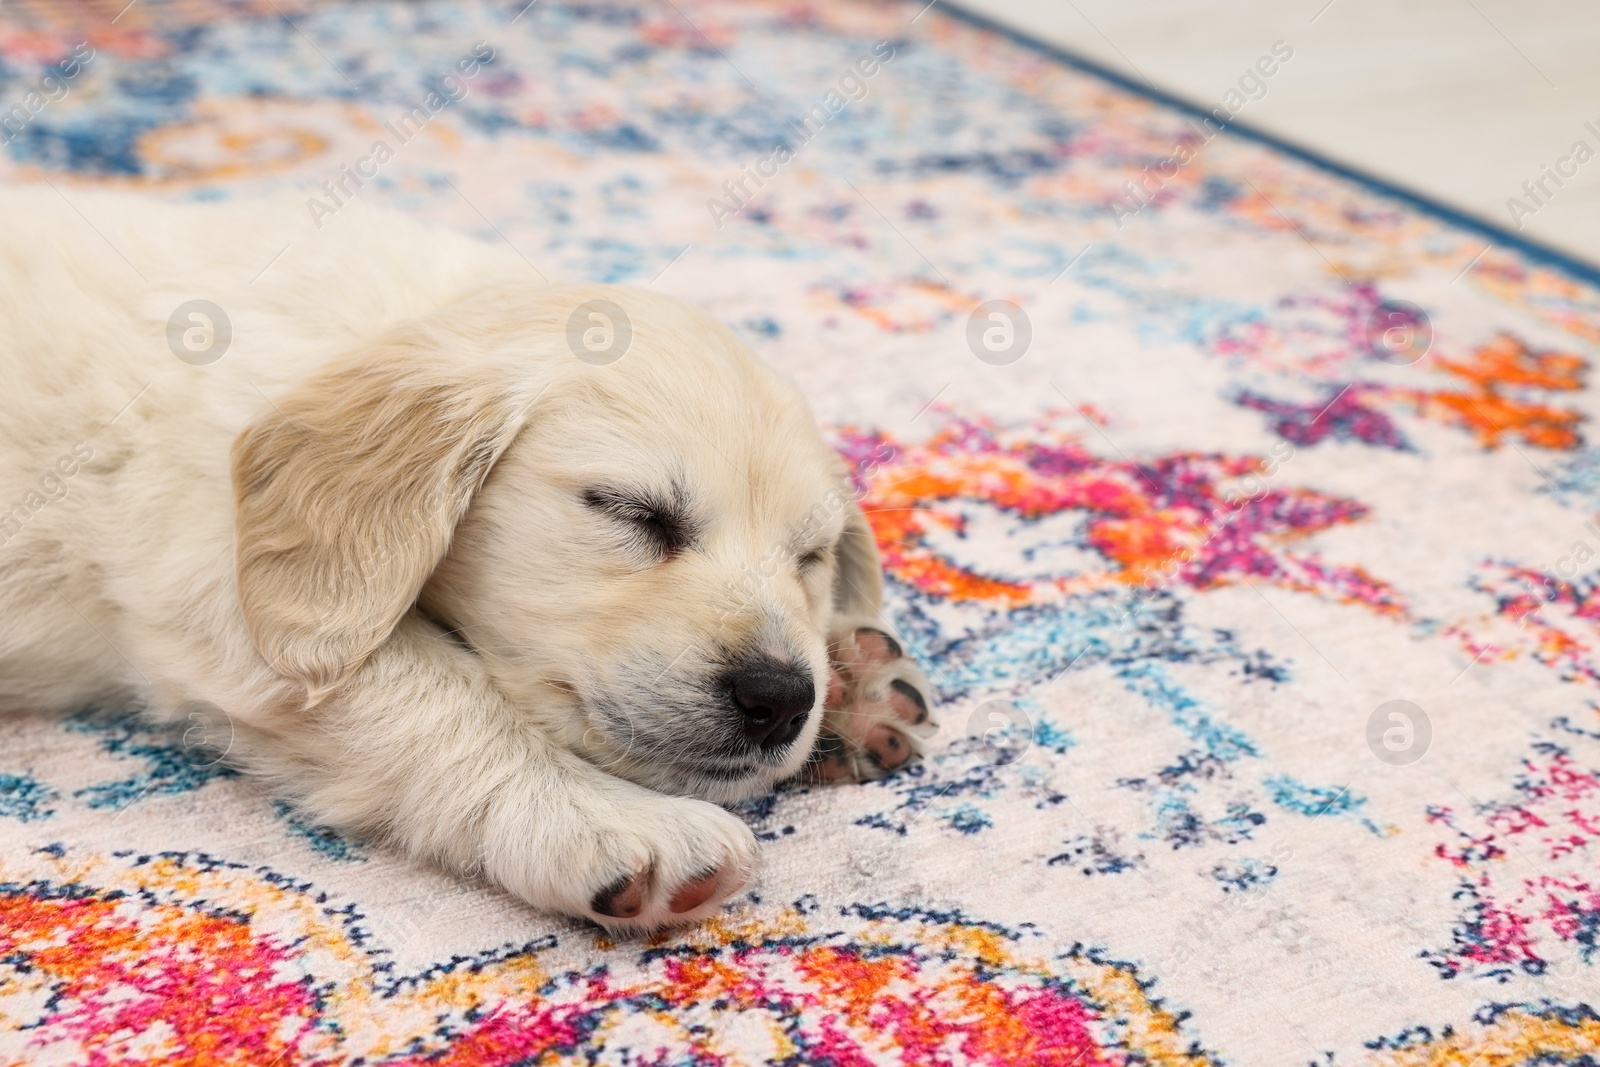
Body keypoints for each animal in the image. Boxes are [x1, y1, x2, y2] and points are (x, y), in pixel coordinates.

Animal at [0, 187, 934, 927]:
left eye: (810, 556)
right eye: (631, 512)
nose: (781, 698)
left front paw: (852, 692)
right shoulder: (218, 581)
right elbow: (440, 695)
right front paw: (613, 820)